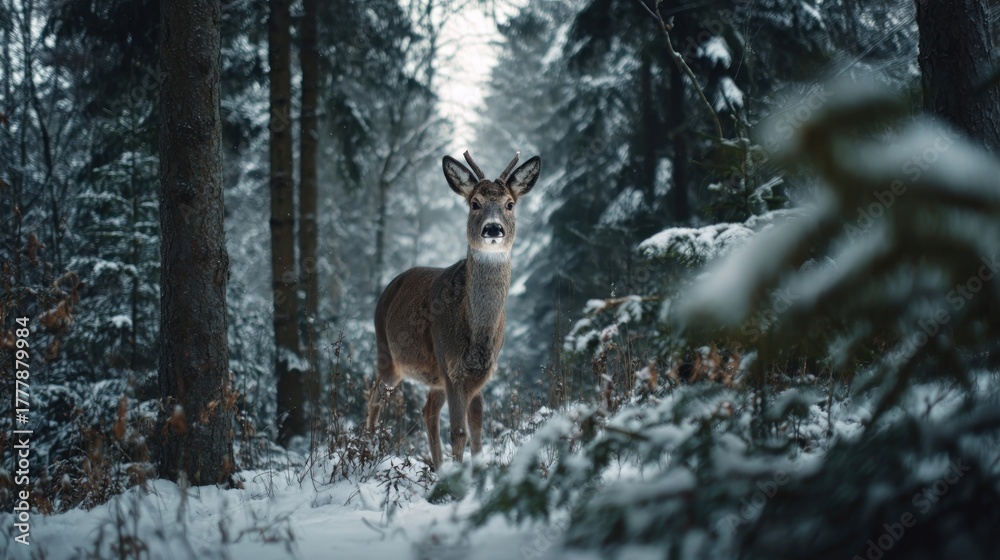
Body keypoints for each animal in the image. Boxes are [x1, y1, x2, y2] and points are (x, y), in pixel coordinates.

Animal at [365, 150, 541, 469]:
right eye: (475, 203)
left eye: (510, 204)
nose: (493, 228)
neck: (476, 332)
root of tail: (390, 286)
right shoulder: (451, 366)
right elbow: (459, 432)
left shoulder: (480, 374)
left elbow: (478, 429)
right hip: (387, 353)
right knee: (374, 397)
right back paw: (366, 453)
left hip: (432, 376)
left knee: (427, 410)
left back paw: (436, 467)